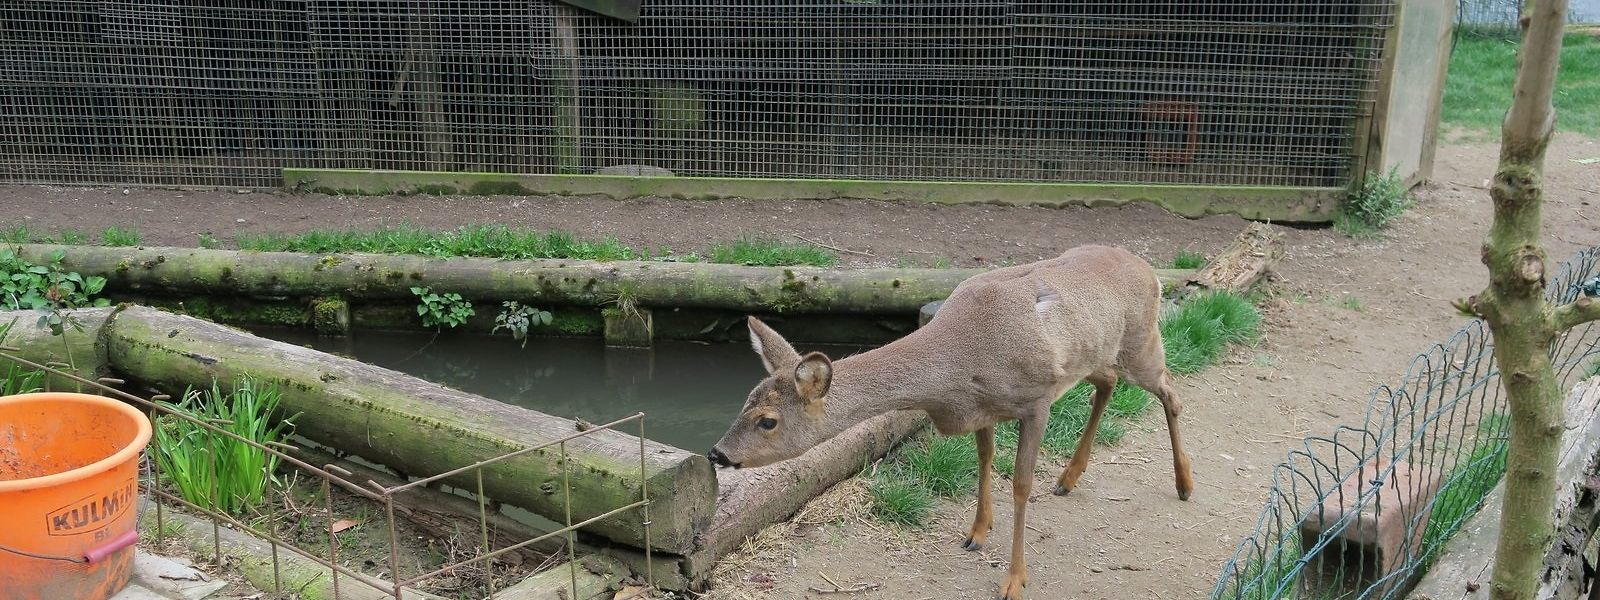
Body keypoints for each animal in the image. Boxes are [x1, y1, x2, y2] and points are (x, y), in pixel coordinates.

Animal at [707, 244, 1196, 600]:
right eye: (745, 401)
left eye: (768, 421)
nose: (717, 452)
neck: (958, 370)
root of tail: (1151, 271)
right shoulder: (982, 409)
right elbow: (984, 459)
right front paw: (976, 533)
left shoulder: (1036, 399)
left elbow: (1021, 484)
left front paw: (1014, 580)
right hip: (1099, 355)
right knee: (1108, 385)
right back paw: (1069, 477)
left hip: (1142, 343)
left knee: (1171, 393)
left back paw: (1184, 483)